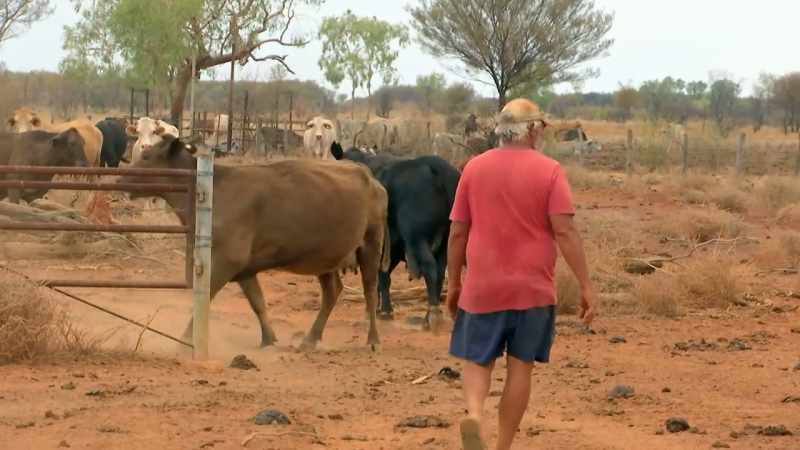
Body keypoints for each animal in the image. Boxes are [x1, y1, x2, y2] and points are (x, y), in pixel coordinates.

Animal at [117, 135, 390, 350]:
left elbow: (204, 302)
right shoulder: (244, 269)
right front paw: (268, 339)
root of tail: (370, 177)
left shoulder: (225, 261)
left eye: (147, 156)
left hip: (370, 245)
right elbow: (258, 303)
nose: (120, 181)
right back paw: (310, 339)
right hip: (325, 257)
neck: (212, 190)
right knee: (332, 292)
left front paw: (185, 342)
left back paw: (373, 339)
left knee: (370, 289)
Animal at [330, 141, 460, 331]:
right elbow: (383, 276)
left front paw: (379, 311)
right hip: (446, 241)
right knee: (440, 273)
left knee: (430, 268)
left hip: (417, 238)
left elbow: (377, 277)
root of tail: (435, 168)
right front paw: (381, 309)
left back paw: (432, 316)